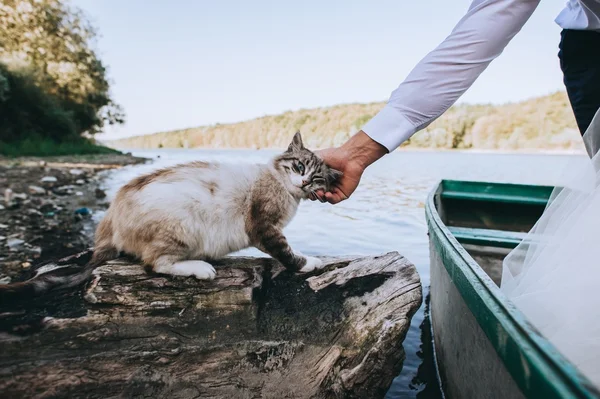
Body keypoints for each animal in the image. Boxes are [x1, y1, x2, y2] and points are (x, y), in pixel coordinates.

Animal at [0, 133, 342, 302]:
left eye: (315, 179)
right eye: (298, 166)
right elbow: (289, 254)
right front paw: (309, 262)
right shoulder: (264, 227)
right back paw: (201, 268)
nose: (302, 183)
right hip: (184, 219)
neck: (285, 190)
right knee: (155, 264)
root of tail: (111, 217)